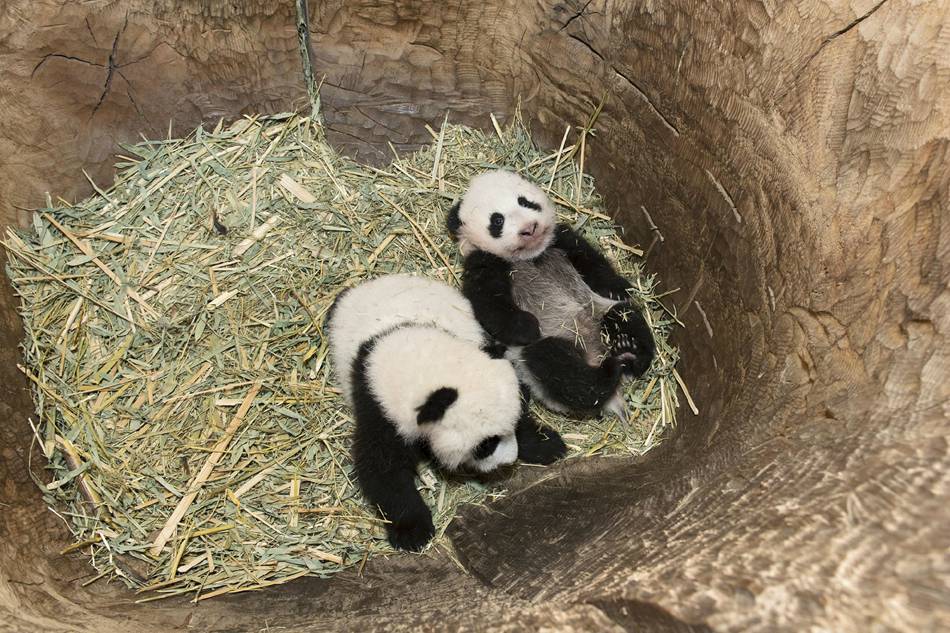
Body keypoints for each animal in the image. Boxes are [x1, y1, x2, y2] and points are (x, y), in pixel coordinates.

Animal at [326, 274, 566, 551]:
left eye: (513, 426)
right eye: (486, 445)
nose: (508, 461)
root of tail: (375, 281)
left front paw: (546, 444)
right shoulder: (378, 403)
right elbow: (382, 467)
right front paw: (413, 531)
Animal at [446, 170, 655, 422]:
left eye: (526, 202)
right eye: (497, 220)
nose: (529, 227)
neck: (530, 256)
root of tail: (596, 356)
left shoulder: (560, 240)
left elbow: (590, 259)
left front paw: (619, 287)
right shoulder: (484, 261)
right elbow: (490, 303)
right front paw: (526, 326)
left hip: (599, 309)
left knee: (624, 315)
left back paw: (630, 350)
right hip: (546, 347)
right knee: (562, 370)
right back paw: (609, 371)